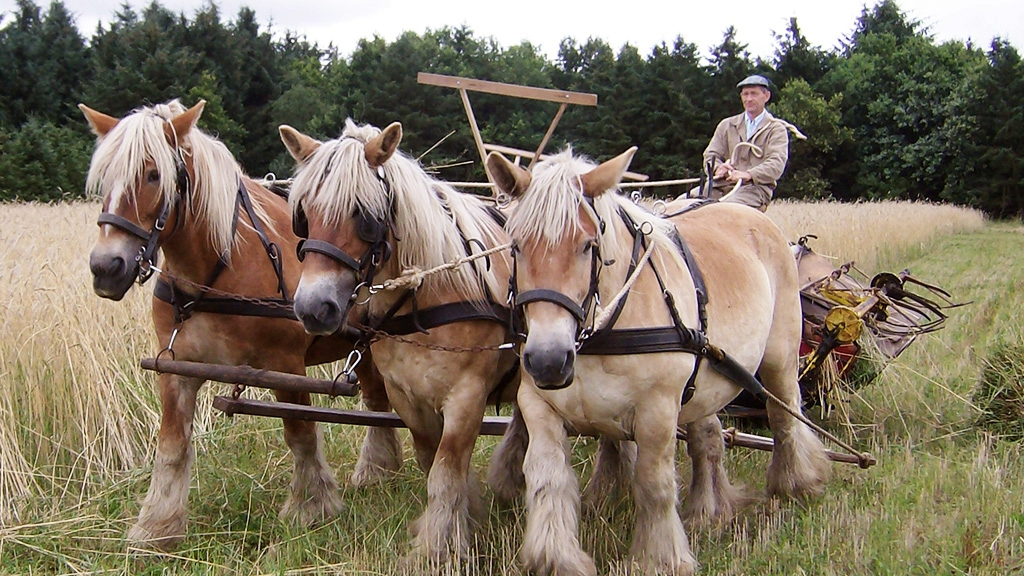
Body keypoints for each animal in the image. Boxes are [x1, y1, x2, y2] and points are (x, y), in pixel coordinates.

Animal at [80, 100, 399, 549]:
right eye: (105, 176)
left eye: (154, 174)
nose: (106, 267)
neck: (216, 270)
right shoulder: (176, 369)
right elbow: (172, 445)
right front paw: (157, 527)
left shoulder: (286, 366)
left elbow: (301, 433)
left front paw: (311, 507)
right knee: (376, 399)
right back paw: (378, 470)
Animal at [280, 118, 536, 561]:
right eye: (303, 216)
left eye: (364, 215)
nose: (314, 308)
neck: (431, 291)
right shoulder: (406, 396)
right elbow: (431, 460)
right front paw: (464, 516)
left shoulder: (467, 397)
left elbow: (446, 469)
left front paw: (438, 547)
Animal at [487, 145, 831, 569]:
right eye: (516, 245)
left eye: (588, 245)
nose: (549, 360)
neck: (601, 334)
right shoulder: (538, 403)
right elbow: (548, 477)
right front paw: (555, 558)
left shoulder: (658, 410)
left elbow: (654, 483)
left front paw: (660, 558)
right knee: (708, 437)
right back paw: (708, 510)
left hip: (779, 358)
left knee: (785, 417)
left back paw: (795, 483)